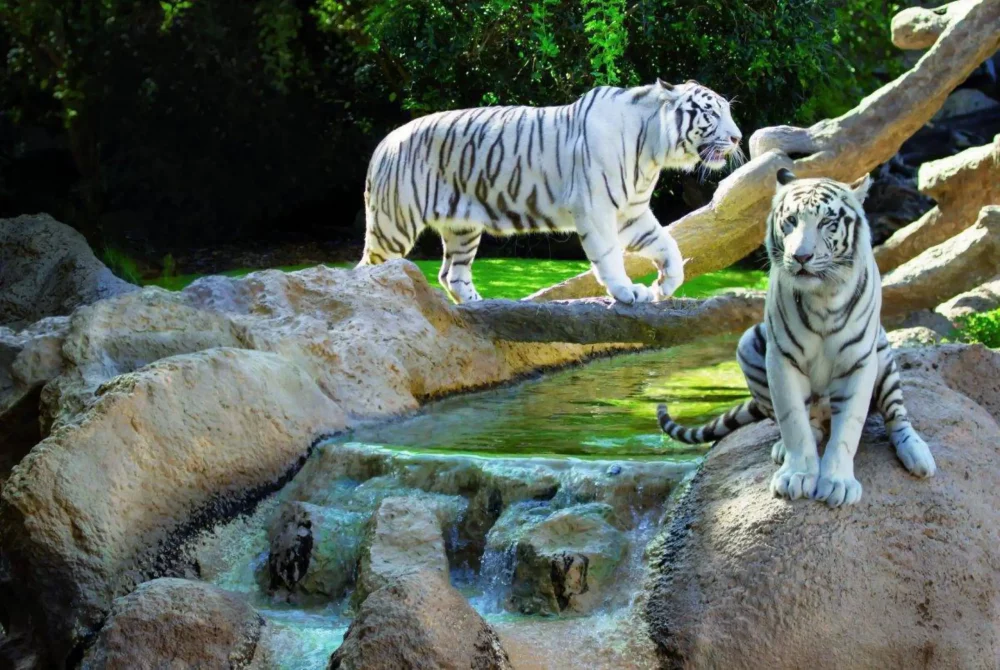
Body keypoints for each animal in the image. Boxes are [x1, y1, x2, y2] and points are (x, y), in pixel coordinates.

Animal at [357, 80, 743, 304]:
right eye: (711, 112)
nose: (738, 137)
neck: (653, 149)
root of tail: (384, 142)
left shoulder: (631, 213)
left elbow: (668, 245)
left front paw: (663, 286)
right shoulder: (597, 210)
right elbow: (610, 256)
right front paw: (628, 291)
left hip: (462, 227)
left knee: (451, 275)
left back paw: (480, 305)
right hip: (394, 226)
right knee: (366, 268)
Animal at [656, 169, 936, 507]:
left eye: (827, 222)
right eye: (790, 220)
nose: (801, 256)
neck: (824, 296)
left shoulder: (858, 361)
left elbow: (848, 428)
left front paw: (838, 483)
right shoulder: (781, 359)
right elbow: (793, 421)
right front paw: (797, 476)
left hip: (883, 355)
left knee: (896, 415)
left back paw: (918, 454)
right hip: (748, 344)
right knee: (807, 419)